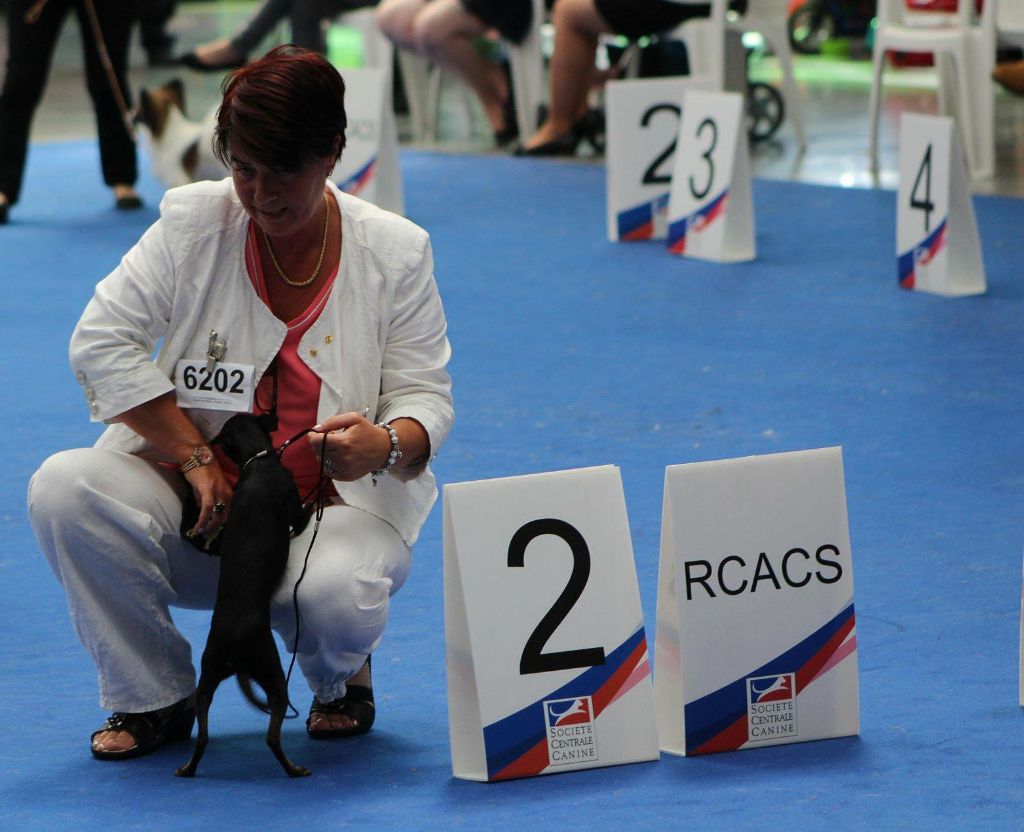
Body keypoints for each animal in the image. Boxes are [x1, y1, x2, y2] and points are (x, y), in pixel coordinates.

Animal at [178, 411, 311, 778]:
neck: (257, 461)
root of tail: (233, 644)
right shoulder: (294, 511)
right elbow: (304, 513)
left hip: (207, 678)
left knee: (202, 735)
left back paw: (187, 769)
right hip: (273, 674)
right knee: (272, 736)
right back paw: (295, 770)